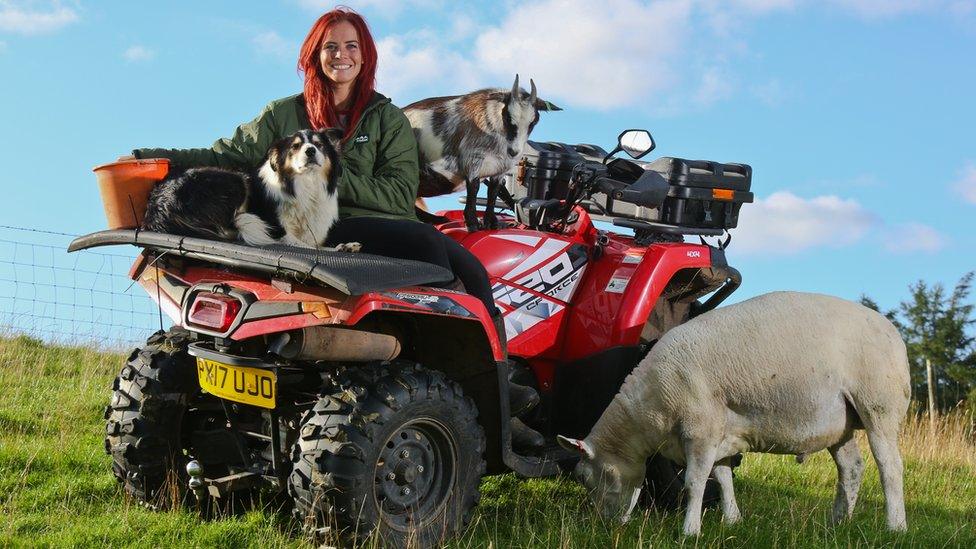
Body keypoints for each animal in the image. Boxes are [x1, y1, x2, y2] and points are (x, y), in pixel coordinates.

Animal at [141, 128, 346, 248]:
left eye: (319, 144)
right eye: (295, 146)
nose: (310, 151)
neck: (306, 186)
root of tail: (156, 206)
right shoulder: (279, 230)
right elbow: (308, 245)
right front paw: (341, 247)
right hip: (236, 181)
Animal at [402, 75, 556, 231]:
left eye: (534, 121)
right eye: (507, 116)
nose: (514, 151)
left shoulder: (500, 169)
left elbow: (493, 191)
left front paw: (491, 222)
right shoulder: (472, 162)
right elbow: (474, 188)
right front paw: (472, 222)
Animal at [560, 292, 912, 536]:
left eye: (583, 477)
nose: (605, 525)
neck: (649, 411)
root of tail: (894, 332)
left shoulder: (700, 429)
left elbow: (694, 482)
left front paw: (690, 531)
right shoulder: (721, 432)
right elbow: (723, 477)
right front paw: (732, 520)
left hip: (878, 405)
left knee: (890, 468)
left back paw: (895, 526)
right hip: (841, 423)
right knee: (851, 468)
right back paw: (838, 522)